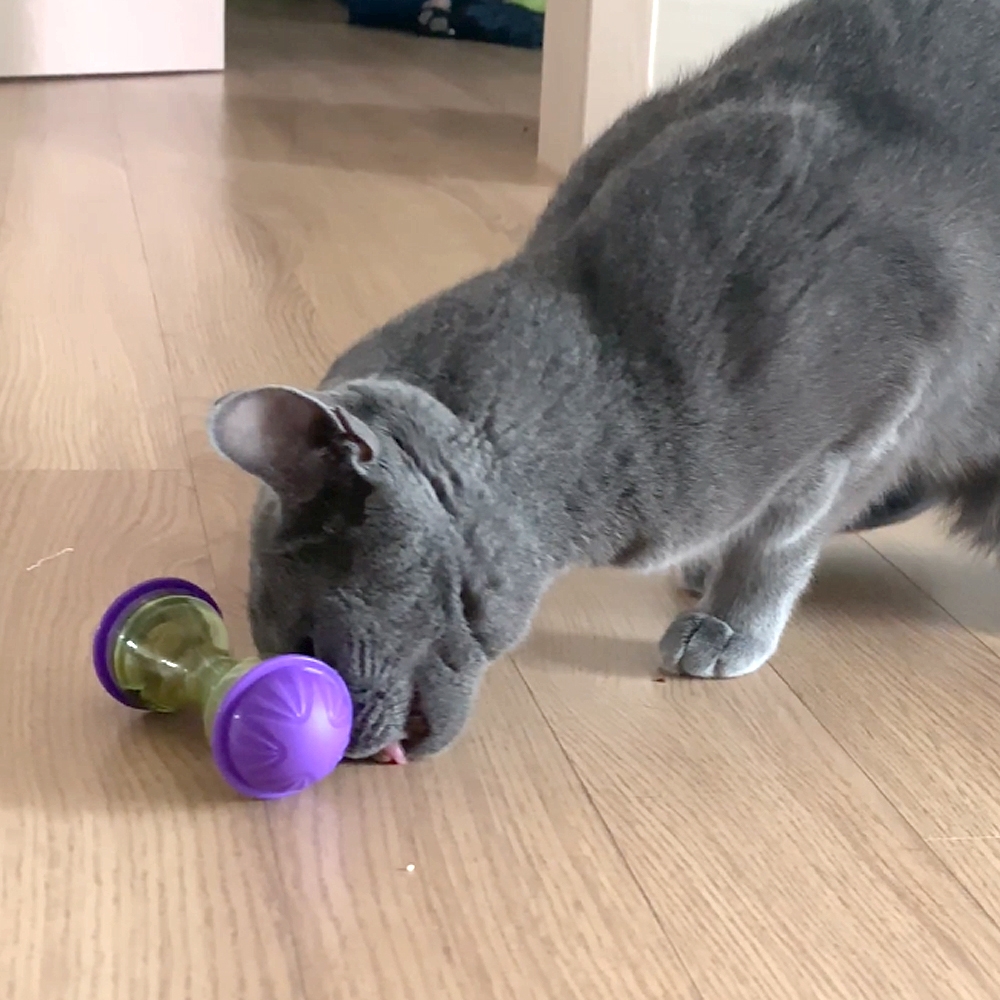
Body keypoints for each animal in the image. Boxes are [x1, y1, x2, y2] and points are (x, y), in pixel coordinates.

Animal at [208, 0, 1000, 762]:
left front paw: (729, 622)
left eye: (309, 645)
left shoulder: (868, 420)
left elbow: (780, 540)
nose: (344, 751)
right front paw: (708, 569)